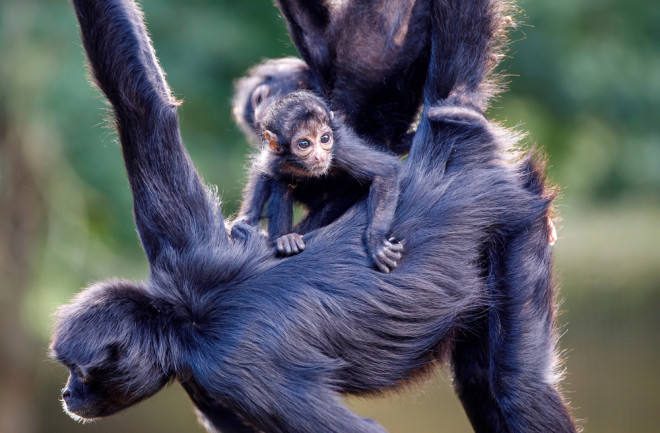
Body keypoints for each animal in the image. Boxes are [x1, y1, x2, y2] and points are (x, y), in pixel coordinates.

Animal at [237, 90, 402, 272]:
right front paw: (245, 219)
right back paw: (286, 239)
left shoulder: (341, 149)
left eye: (324, 138)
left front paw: (376, 241)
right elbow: (262, 172)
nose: (320, 156)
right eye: (304, 143)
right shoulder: (276, 155)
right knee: (282, 182)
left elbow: (386, 171)